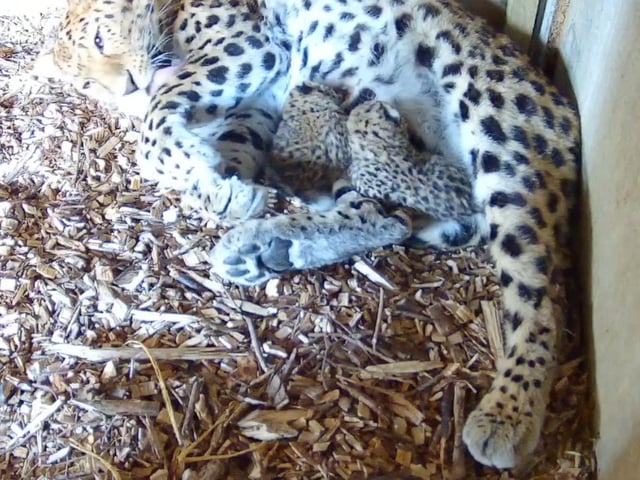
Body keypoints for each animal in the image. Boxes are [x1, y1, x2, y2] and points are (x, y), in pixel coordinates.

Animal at [49, 0, 580, 470]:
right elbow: (224, 149)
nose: (124, 90)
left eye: (100, 40)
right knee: (384, 217)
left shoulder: (246, 44)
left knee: (542, 296)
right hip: (374, 153)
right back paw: (266, 246)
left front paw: (187, 159)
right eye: (88, 84)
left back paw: (508, 413)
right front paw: (225, 192)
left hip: (504, 144)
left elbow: (157, 122)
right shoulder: (260, 102)